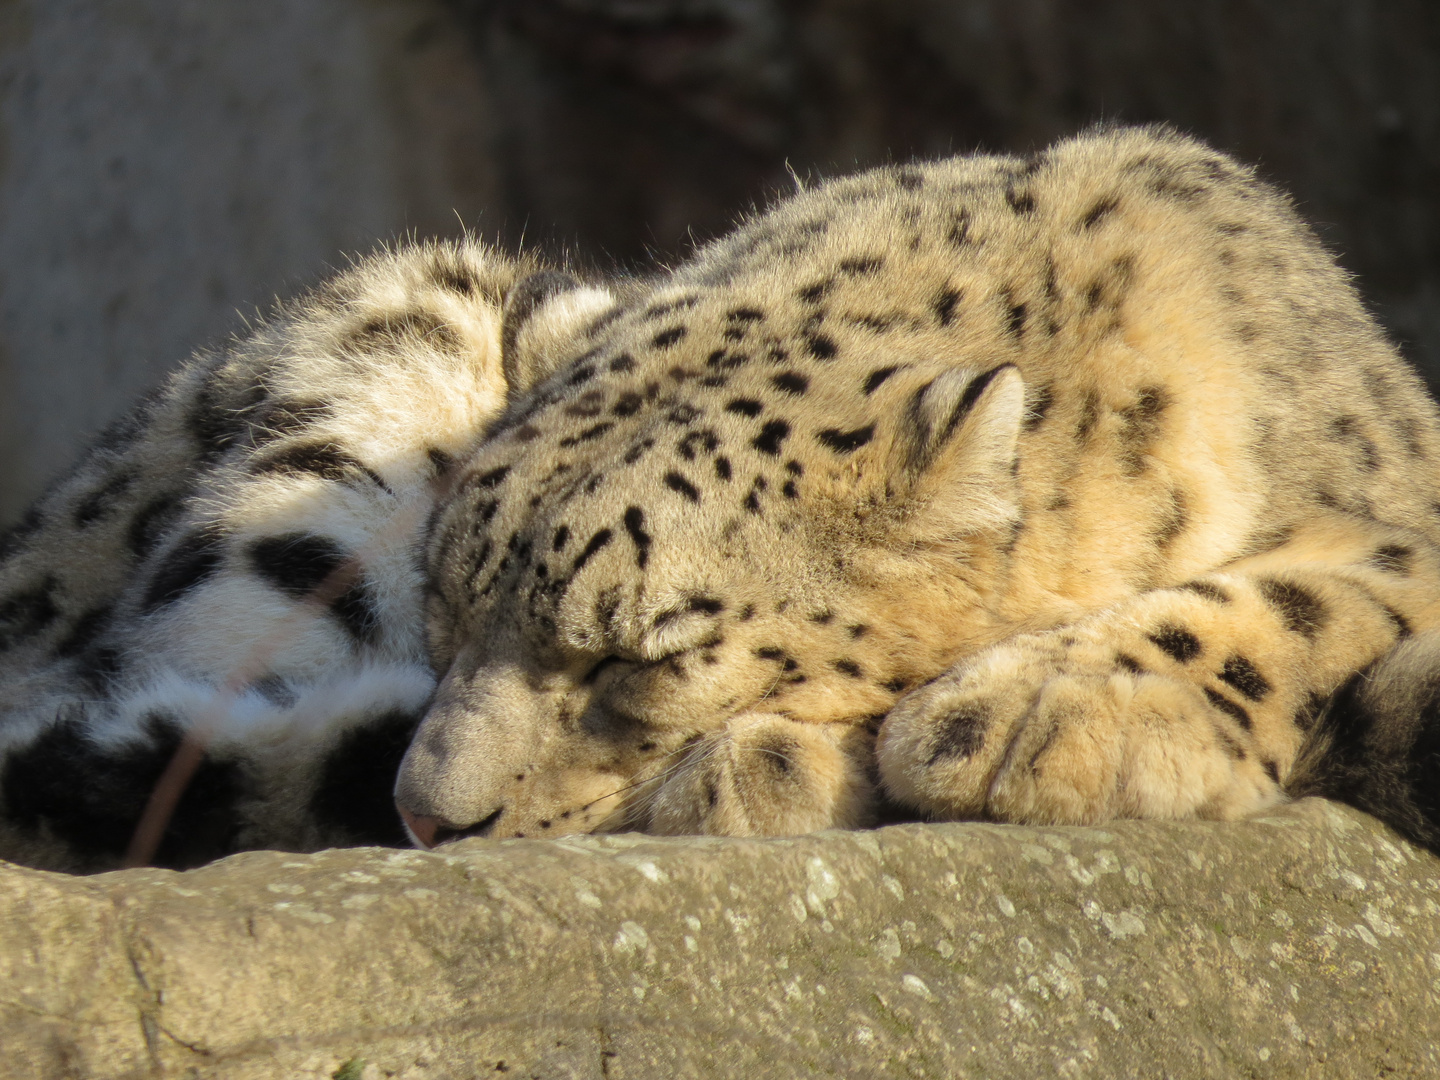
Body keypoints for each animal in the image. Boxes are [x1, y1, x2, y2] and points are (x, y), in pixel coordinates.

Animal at [400, 124, 1440, 852]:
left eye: (638, 661)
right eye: (440, 610)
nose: (423, 817)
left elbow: (1322, 596)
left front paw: (1029, 706)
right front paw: (775, 765)